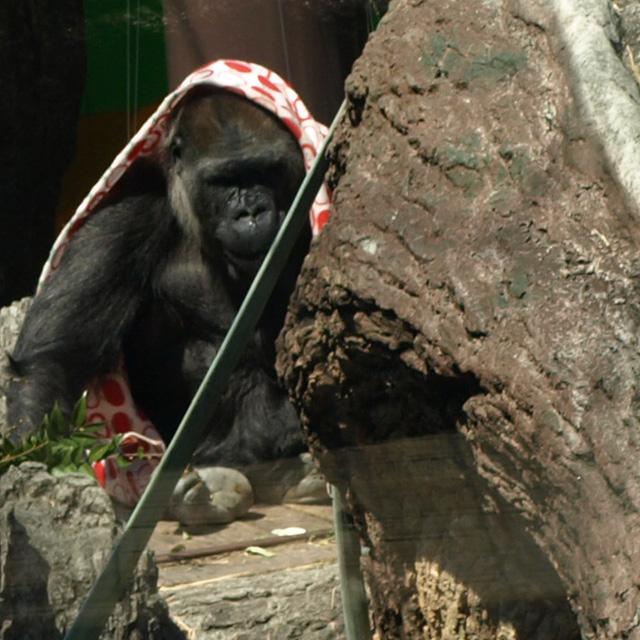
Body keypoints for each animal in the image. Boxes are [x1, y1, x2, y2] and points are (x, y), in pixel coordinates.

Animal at [4, 82, 316, 472]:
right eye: (222, 180)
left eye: (267, 171)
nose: (251, 213)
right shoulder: (130, 205)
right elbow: (54, 358)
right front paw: (38, 452)